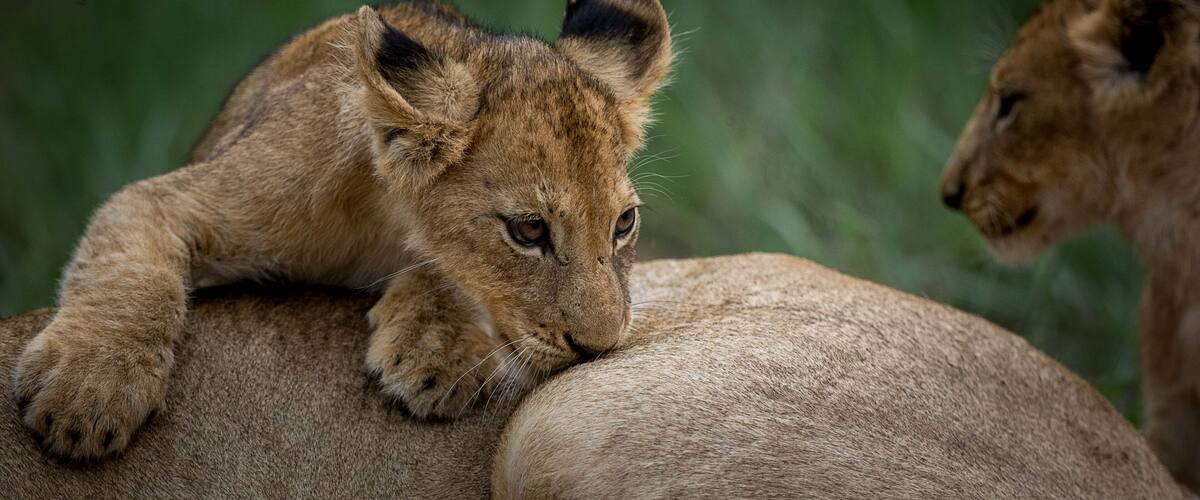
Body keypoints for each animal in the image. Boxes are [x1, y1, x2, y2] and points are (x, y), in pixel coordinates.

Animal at [10, 0, 673, 461]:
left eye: (624, 223)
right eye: (529, 230)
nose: (599, 348)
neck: (382, 219)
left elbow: (446, 270)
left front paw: (434, 351)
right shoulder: (169, 198)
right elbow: (129, 275)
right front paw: (89, 394)